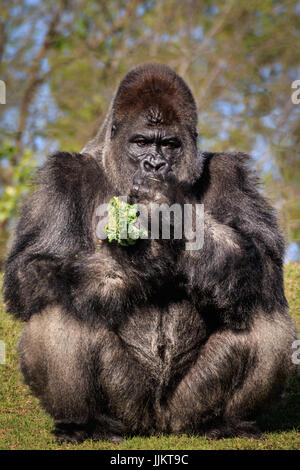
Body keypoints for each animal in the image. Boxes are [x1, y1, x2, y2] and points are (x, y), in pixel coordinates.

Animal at [3, 64, 296, 442]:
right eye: (141, 143)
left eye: (169, 145)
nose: (155, 165)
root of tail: (159, 424)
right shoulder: (59, 176)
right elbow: (30, 268)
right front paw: (130, 264)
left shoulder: (233, 173)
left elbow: (264, 261)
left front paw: (172, 210)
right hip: (129, 407)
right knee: (61, 304)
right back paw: (85, 424)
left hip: (186, 407)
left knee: (258, 303)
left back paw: (226, 422)